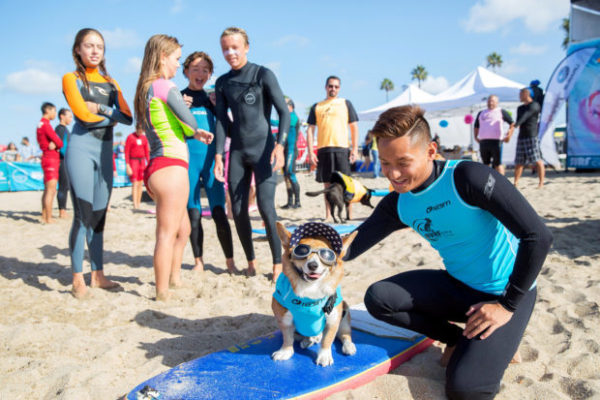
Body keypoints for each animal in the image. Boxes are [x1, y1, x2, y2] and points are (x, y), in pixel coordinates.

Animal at [272, 222, 356, 366]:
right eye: (301, 251)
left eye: (327, 255)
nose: (312, 265)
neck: (311, 287)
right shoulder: (284, 318)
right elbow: (287, 337)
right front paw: (285, 352)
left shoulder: (333, 320)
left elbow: (327, 340)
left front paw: (324, 356)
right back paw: (309, 340)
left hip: (344, 317)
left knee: (344, 335)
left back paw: (348, 346)